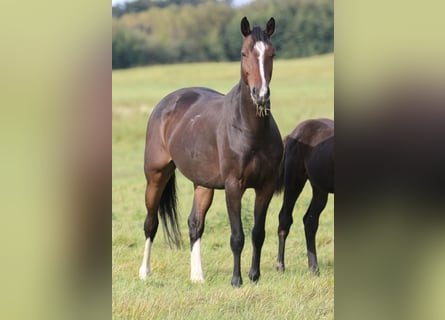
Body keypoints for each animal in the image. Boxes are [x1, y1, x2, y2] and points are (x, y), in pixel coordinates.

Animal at [139, 16, 282, 288]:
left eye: (271, 53)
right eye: (244, 53)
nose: (261, 95)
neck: (249, 129)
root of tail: (165, 104)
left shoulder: (266, 186)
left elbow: (258, 233)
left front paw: (254, 276)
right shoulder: (234, 186)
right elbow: (237, 236)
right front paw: (237, 280)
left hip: (203, 184)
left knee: (195, 224)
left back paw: (197, 276)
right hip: (156, 176)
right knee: (151, 223)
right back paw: (144, 271)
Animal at [274, 119, 332, 274]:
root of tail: (293, 133)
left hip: (320, 189)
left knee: (310, 221)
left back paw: (313, 269)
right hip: (294, 182)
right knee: (285, 218)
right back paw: (280, 266)